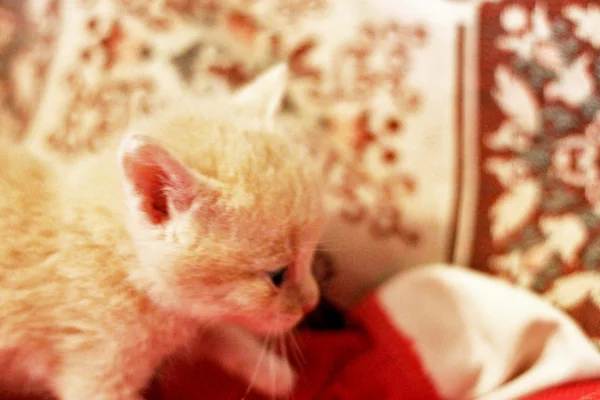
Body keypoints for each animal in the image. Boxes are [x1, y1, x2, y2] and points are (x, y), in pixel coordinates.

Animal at [0, 64, 324, 398]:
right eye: (277, 276)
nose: (312, 302)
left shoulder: (189, 316)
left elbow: (218, 330)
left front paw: (272, 372)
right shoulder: (97, 374)